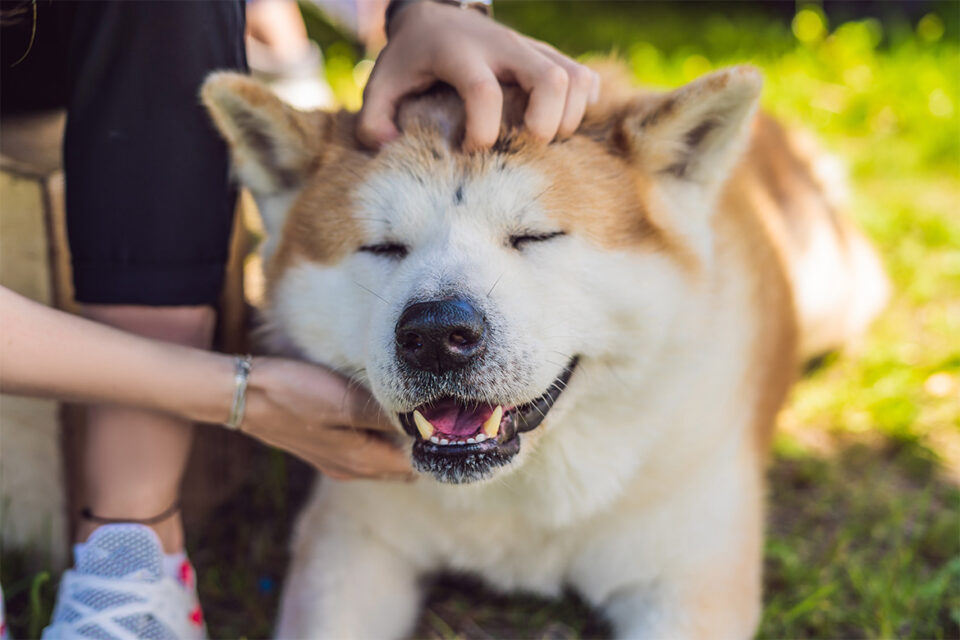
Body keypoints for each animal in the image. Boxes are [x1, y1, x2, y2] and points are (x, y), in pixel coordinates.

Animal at [204, 61, 892, 640]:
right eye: (384, 247)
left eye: (534, 236)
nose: (436, 335)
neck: (523, 485)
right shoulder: (352, 544)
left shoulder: (687, 578)